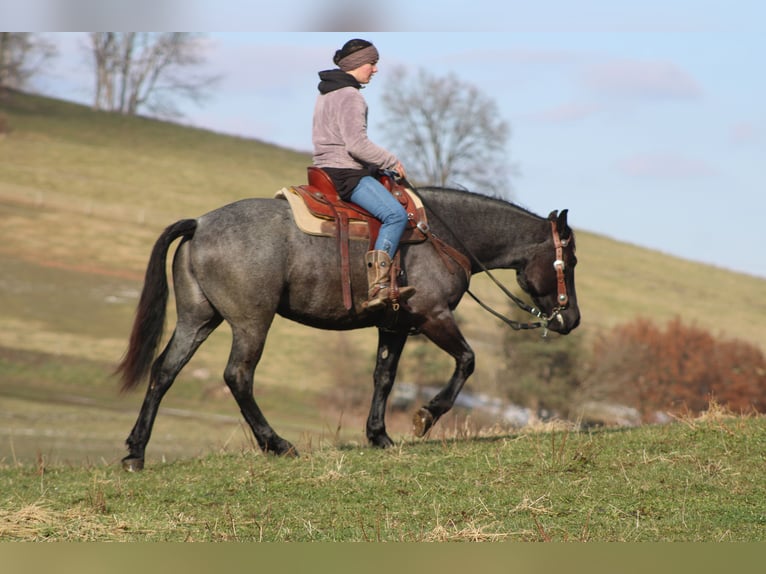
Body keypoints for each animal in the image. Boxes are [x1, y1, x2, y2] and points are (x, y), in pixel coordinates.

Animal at [116, 184, 580, 471]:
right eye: (570, 261)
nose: (571, 319)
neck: (443, 236)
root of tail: (200, 223)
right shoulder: (433, 316)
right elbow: (467, 360)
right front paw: (425, 417)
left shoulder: (395, 326)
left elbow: (384, 377)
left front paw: (379, 436)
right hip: (251, 323)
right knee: (238, 377)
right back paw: (277, 444)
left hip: (198, 319)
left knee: (164, 371)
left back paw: (136, 451)